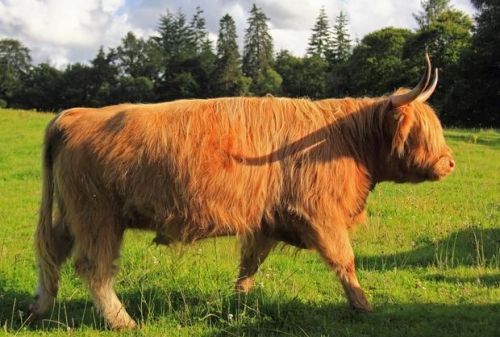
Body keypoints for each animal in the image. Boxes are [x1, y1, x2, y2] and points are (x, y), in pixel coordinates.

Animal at [30, 55, 454, 328]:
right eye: (421, 130)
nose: (449, 163)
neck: (344, 140)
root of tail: (75, 115)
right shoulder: (319, 213)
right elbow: (344, 261)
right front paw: (364, 306)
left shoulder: (268, 218)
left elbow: (250, 263)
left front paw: (239, 300)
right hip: (97, 215)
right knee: (94, 267)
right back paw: (123, 321)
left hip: (73, 214)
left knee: (52, 250)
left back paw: (39, 307)